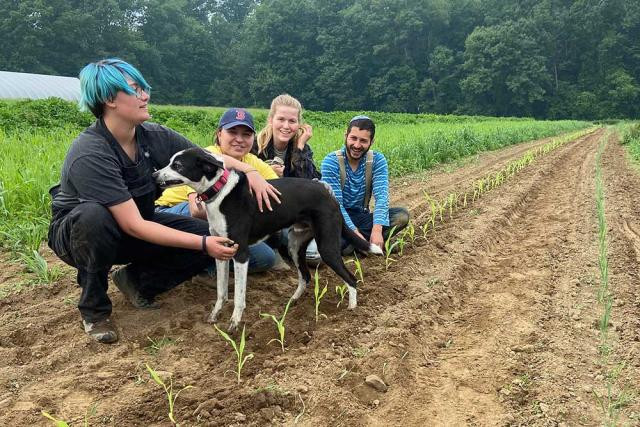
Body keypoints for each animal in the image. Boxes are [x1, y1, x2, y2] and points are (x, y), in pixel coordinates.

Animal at [152, 147, 382, 332]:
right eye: (170, 162)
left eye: (178, 165)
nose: (154, 175)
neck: (220, 193)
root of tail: (329, 193)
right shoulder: (220, 251)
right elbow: (221, 292)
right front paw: (215, 315)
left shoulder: (241, 254)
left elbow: (239, 297)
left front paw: (234, 324)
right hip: (295, 245)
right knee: (305, 276)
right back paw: (293, 301)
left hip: (327, 247)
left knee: (351, 278)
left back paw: (351, 310)